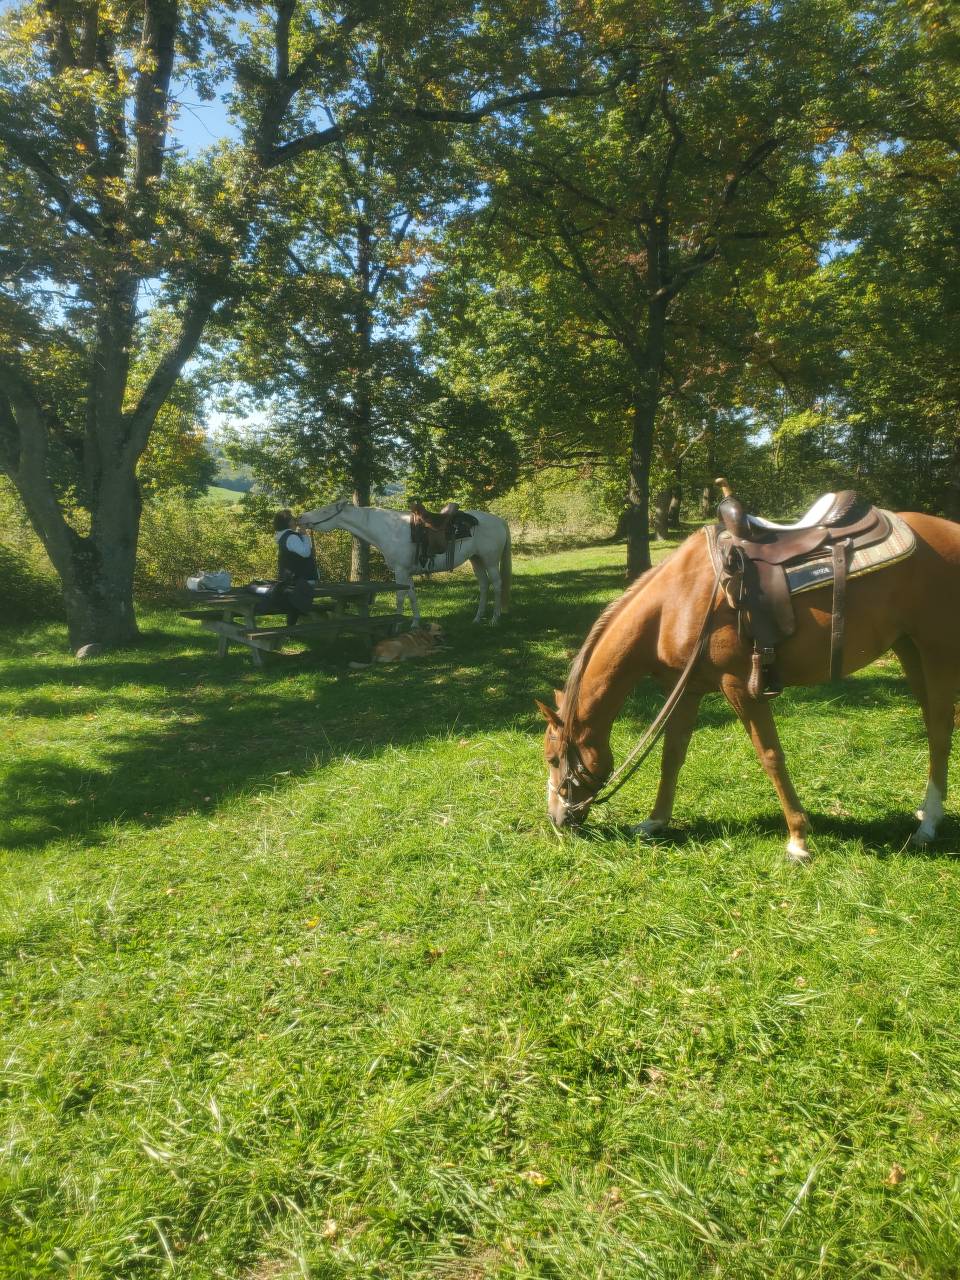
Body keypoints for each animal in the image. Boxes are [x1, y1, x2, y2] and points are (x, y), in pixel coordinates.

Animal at [298, 499, 512, 625]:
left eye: (324, 511)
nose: (301, 517)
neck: (387, 529)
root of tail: (500, 521)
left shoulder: (400, 571)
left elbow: (400, 597)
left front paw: (397, 623)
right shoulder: (406, 572)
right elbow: (412, 596)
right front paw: (415, 623)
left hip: (490, 561)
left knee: (497, 584)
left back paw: (495, 619)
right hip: (477, 560)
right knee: (484, 585)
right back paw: (477, 618)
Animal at [537, 511, 960, 861]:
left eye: (554, 759)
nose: (557, 820)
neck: (675, 604)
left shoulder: (739, 685)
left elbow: (770, 756)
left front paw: (798, 839)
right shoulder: (687, 690)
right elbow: (672, 757)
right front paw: (655, 822)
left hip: (938, 650)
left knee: (940, 730)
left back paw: (927, 827)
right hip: (909, 649)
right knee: (931, 724)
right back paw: (926, 811)